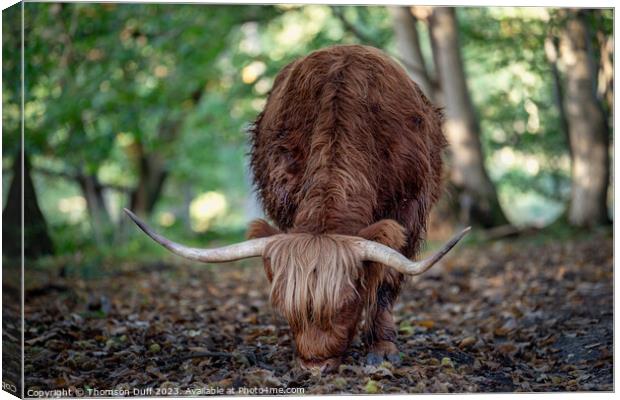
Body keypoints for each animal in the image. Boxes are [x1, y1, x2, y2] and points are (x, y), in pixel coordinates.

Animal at [123, 45, 468, 374]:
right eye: (286, 305)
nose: (315, 366)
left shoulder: (408, 210)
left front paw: (381, 348)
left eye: (346, 303)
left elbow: (386, 278)